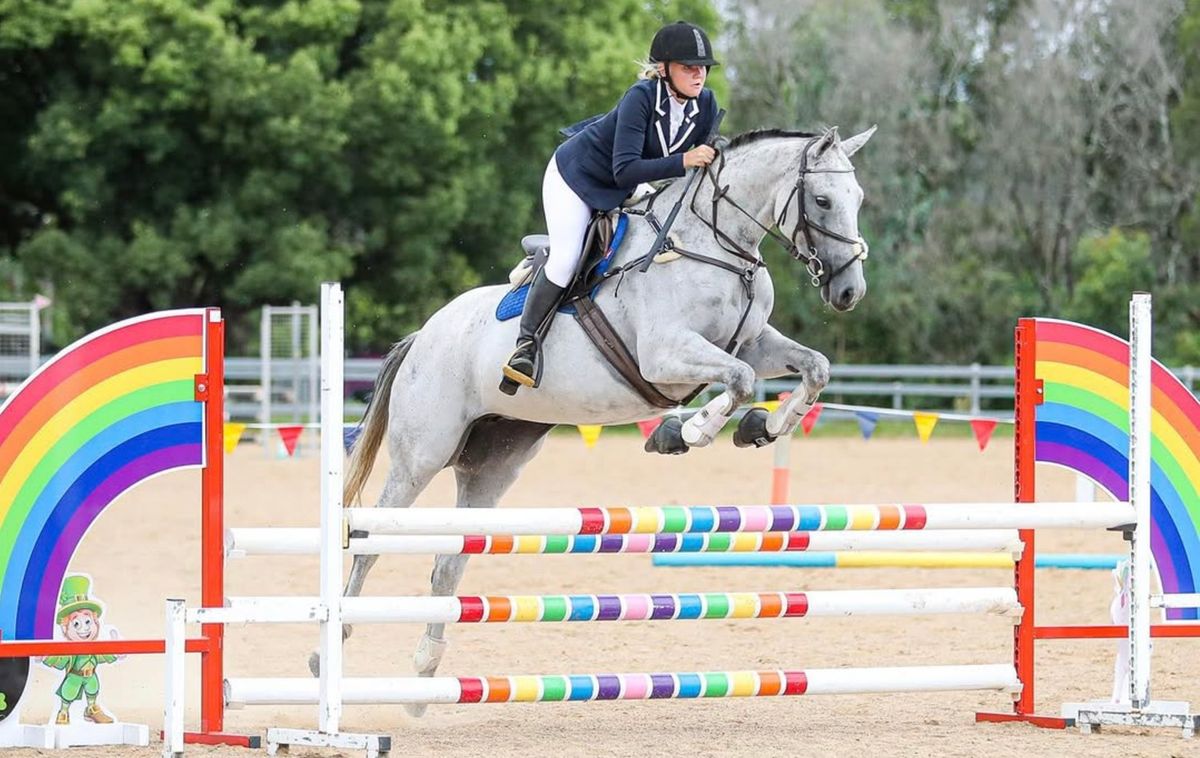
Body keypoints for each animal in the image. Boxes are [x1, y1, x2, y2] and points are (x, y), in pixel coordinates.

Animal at [324, 124, 878, 710]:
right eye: (823, 200)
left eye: (858, 198)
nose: (849, 292)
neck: (714, 248)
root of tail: (422, 335)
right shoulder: (665, 355)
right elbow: (740, 381)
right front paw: (685, 431)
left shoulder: (751, 343)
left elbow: (812, 368)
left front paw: (760, 428)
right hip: (421, 455)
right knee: (371, 540)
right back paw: (331, 649)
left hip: (492, 466)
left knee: (450, 562)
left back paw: (424, 677)